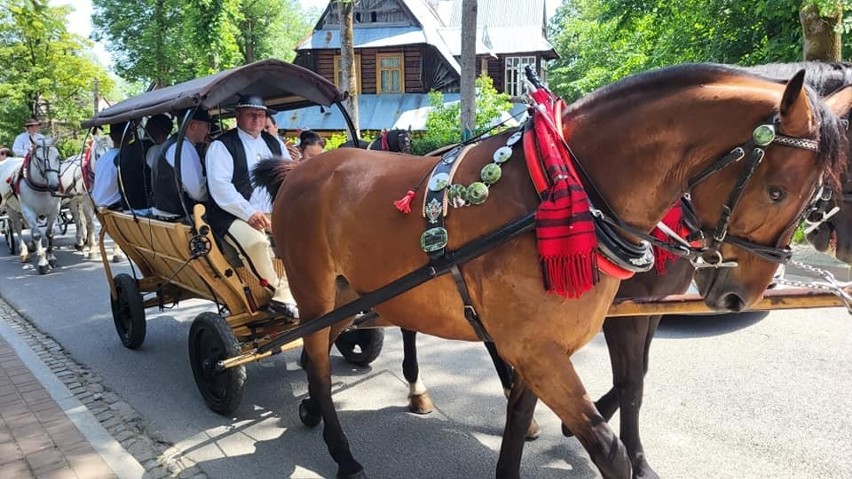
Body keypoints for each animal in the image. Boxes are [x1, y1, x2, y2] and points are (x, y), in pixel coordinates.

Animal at [0, 137, 62, 276]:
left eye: (58, 157)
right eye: (38, 159)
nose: (54, 185)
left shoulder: (54, 210)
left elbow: (50, 233)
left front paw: (51, 257)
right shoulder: (28, 211)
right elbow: (37, 234)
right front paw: (43, 263)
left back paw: (32, 246)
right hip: (11, 208)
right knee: (18, 228)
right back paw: (24, 252)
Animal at [255, 64, 844, 479]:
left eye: (814, 199)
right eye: (778, 191)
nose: (740, 294)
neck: (562, 190)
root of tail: (300, 170)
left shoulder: (545, 346)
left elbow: (528, 420)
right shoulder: (543, 347)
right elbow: (610, 443)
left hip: (353, 294)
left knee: (325, 346)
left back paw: (318, 409)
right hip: (315, 289)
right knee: (316, 358)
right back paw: (341, 451)